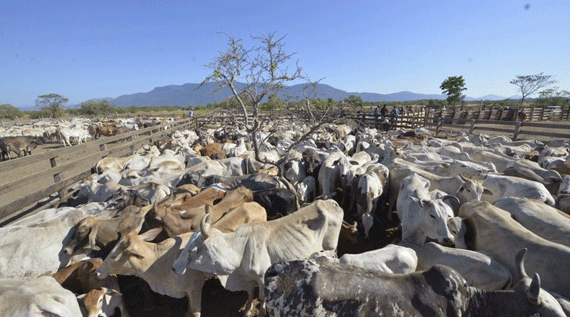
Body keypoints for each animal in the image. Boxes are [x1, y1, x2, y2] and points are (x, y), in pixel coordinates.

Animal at [171, 199, 342, 314]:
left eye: (192, 250)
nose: (174, 267)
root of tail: (328, 202)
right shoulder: (246, 278)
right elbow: (249, 293)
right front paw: (247, 310)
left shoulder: (262, 277)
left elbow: (261, 297)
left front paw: (261, 312)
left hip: (331, 248)